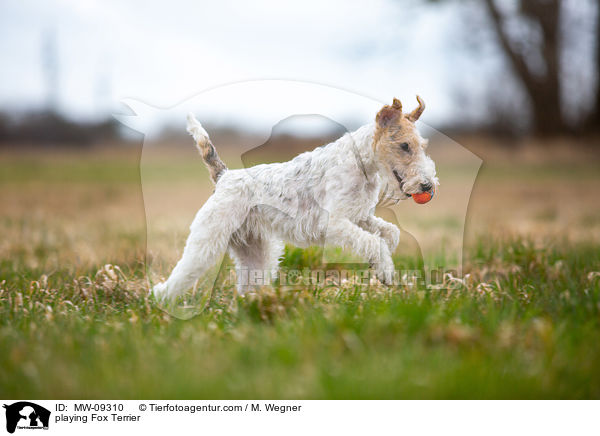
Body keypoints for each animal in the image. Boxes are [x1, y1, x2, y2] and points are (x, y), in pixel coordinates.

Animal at [152, 96, 438, 300]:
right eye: (404, 146)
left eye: (423, 146)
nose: (427, 185)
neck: (360, 163)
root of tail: (224, 176)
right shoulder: (334, 222)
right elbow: (373, 241)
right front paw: (386, 271)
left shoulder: (359, 216)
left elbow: (389, 233)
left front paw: (381, 263)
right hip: (206, 242)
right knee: (179, 276)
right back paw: (161, 302)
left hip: (255, 252)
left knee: (247, 284)